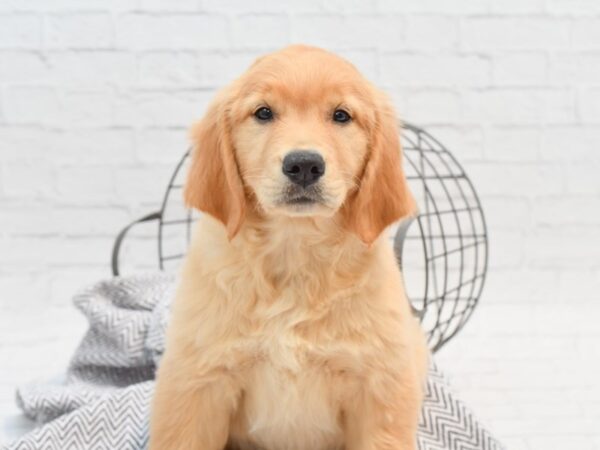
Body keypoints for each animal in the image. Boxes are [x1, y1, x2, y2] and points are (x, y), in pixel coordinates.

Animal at [152, 43, 428, 450]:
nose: (304, 165)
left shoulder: (380, 388)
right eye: (263, 112)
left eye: (341, 116)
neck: (296, 251)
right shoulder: (196, 382)